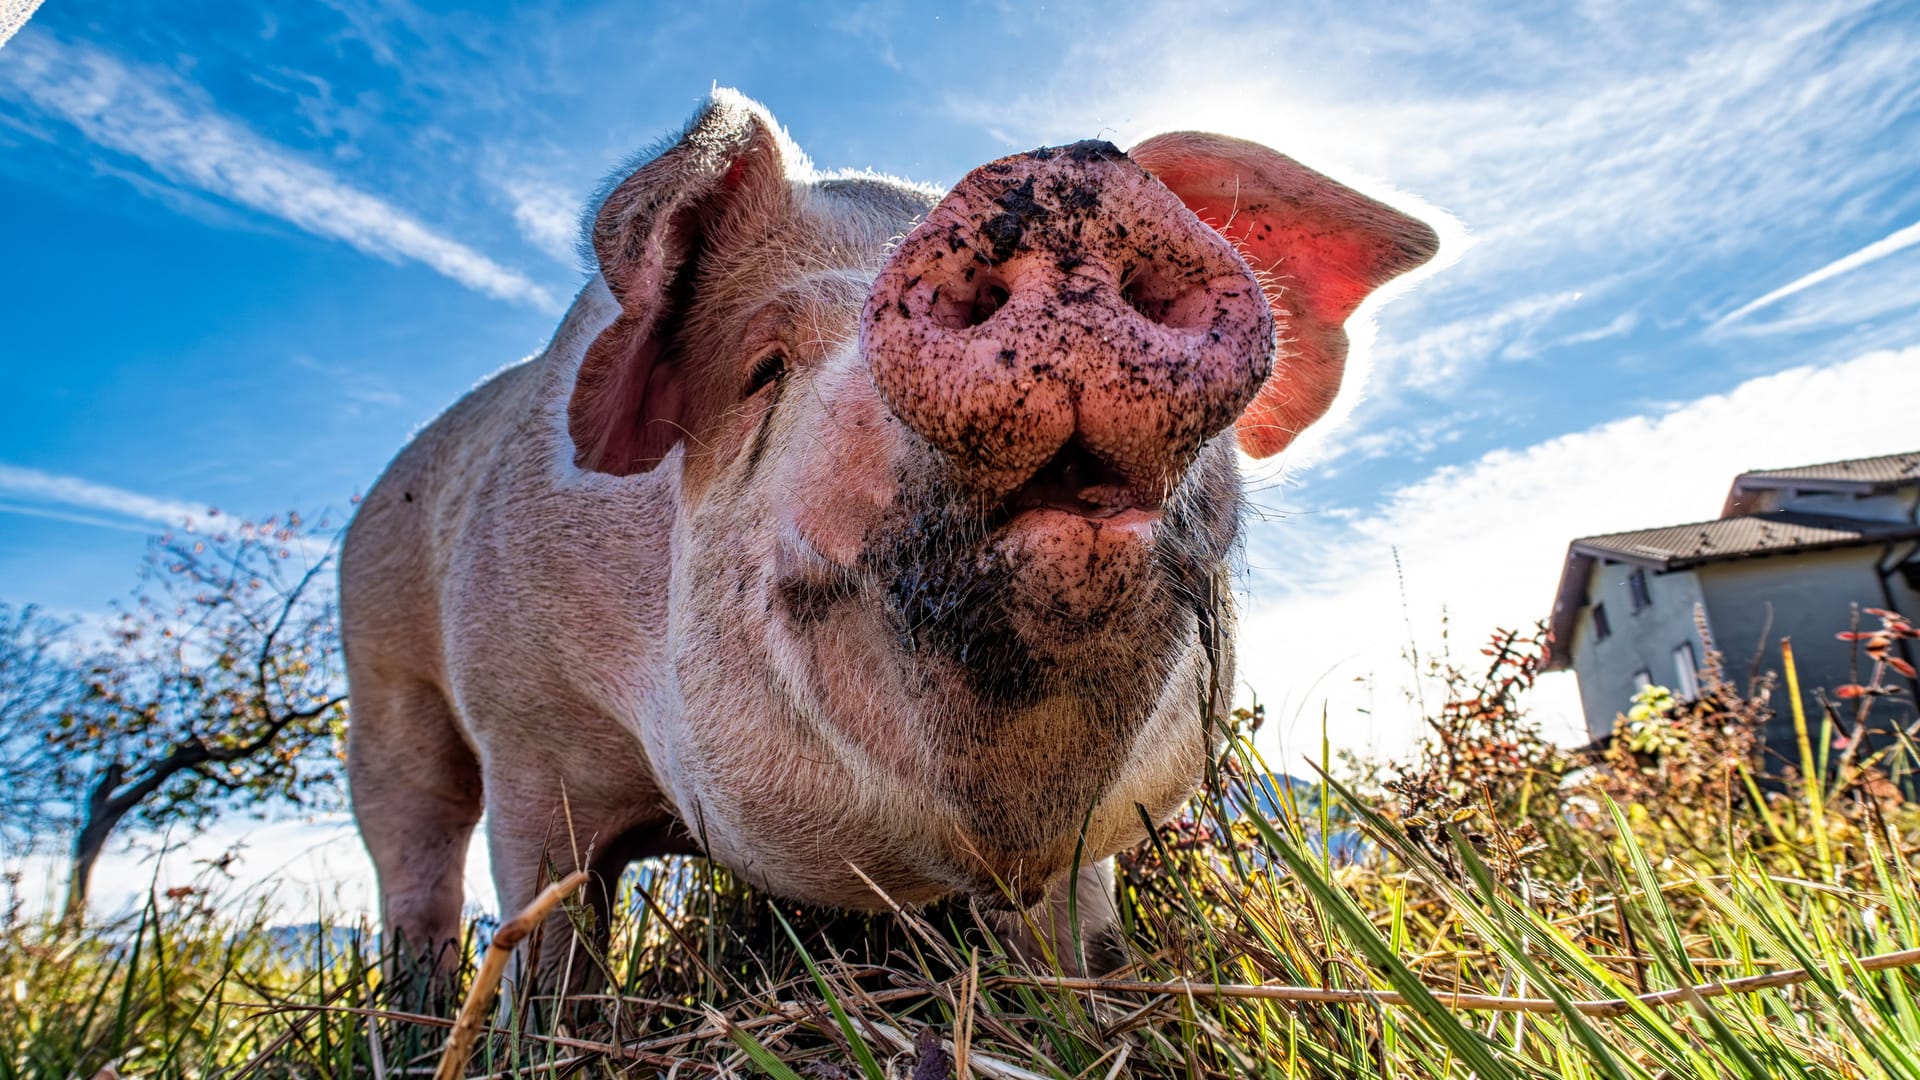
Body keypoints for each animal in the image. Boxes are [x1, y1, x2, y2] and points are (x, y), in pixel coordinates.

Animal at [337, 90, 1436, 983]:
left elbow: (1075, 943)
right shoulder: (526, 736)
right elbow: (547, 938)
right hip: (383, 683)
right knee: (416, 854)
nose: (1059, 176)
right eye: (763, 367)